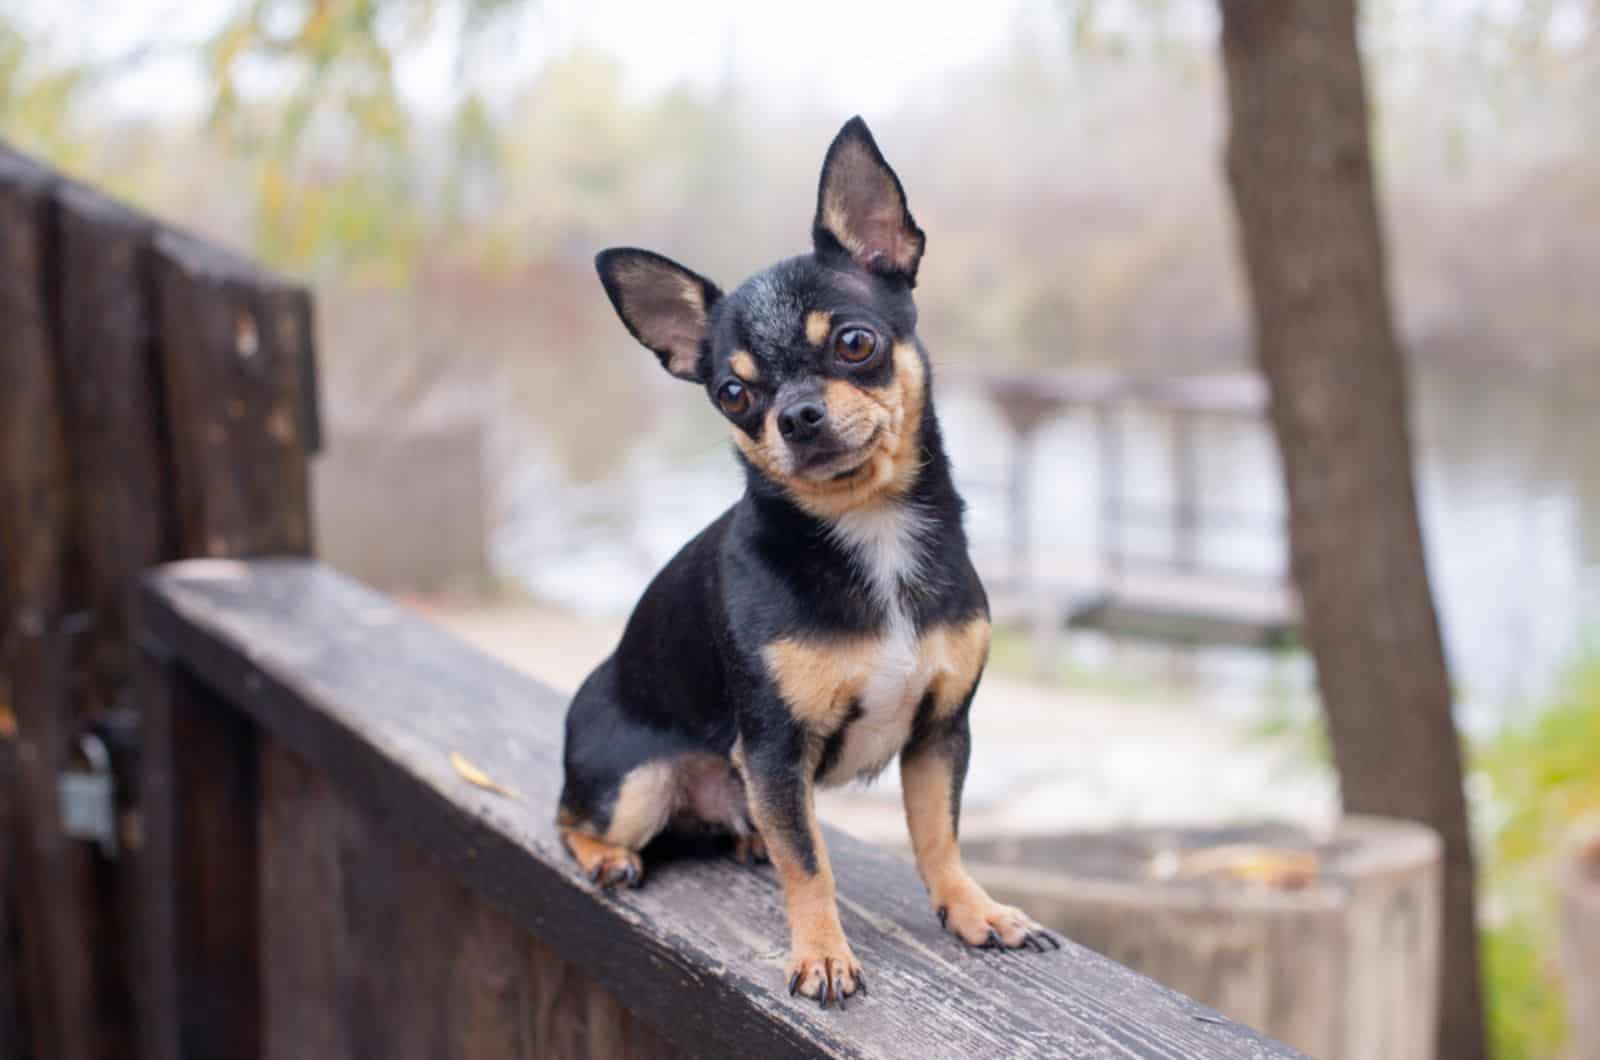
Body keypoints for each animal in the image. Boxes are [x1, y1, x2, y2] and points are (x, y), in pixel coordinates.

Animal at [556, 114, 1056, 1005]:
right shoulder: (775, 751)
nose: (795, 415)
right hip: (636, 785)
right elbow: (809, 862)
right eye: (733, 395)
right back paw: (610, 859)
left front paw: (973, 909)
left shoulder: (941, 735)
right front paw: (821, 952)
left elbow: (939, 836)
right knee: (567, 818)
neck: (870, 532)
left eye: (855, 343)